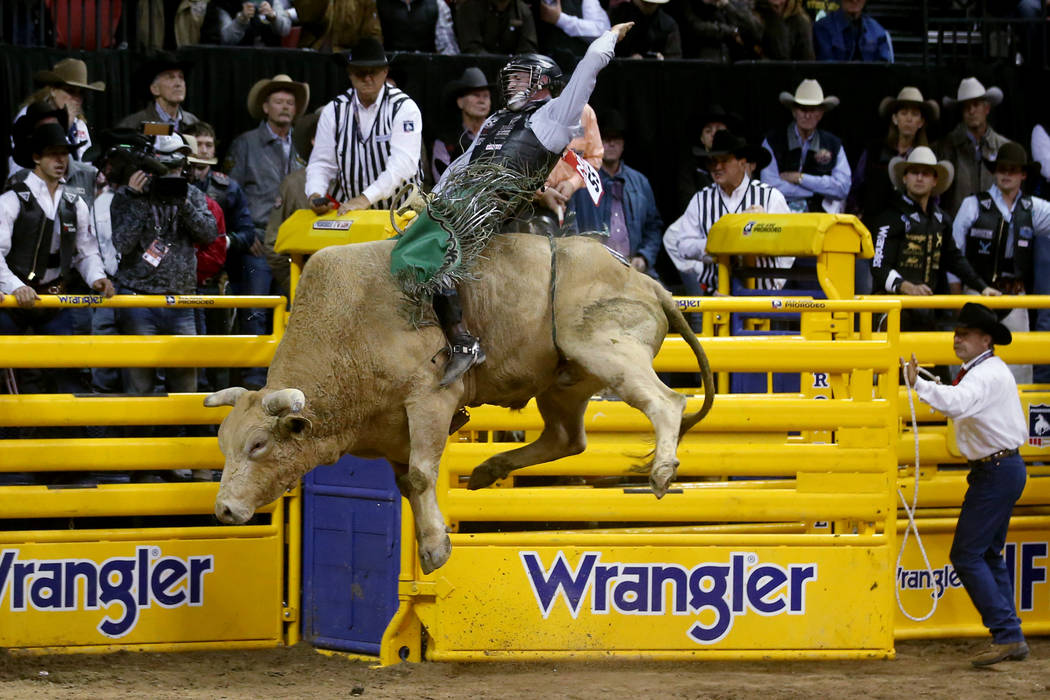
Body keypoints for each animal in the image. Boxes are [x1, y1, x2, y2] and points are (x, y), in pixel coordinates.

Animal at [204, 232, 713, 570]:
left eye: (257, 446)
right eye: (224, 445)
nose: (224, 510)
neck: (347, 330)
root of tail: (646, 283)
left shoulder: (429, 401)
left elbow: (422, 475)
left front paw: (434, 550)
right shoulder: (390, 430)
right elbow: (407, 482)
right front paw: (430, 539)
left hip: (605, 348)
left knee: (666, 401)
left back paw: (662, 471)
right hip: (565, 383)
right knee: (567, 438)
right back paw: (490, 469)